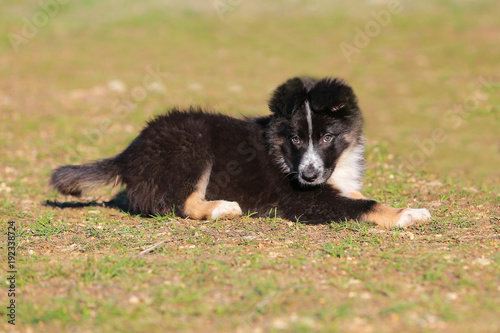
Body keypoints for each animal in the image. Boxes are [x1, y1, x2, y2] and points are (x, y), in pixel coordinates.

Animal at [52, 76, 432, 227]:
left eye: (327, 138)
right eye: (295, 139)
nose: (308, 176)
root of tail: (130, 152)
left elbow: (355, 195)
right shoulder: (302, 200)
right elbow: (366, 205)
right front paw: (406, 214)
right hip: (192, 142)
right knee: (176, 202)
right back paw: (220, 207)